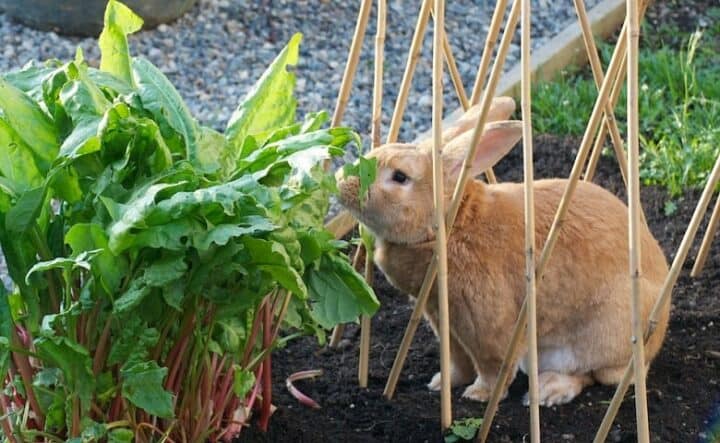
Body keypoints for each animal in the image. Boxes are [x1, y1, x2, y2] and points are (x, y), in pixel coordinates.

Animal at [334, 98, 672, 410]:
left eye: (400, 177)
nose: (341, 182)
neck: (448, 224)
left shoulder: (485, 323)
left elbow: (492, 365)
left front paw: (479, 395)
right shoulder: (442, 319)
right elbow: (457, 360)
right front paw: (442, 383)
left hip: (600, 339)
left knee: (598, 375)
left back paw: (549, 390)